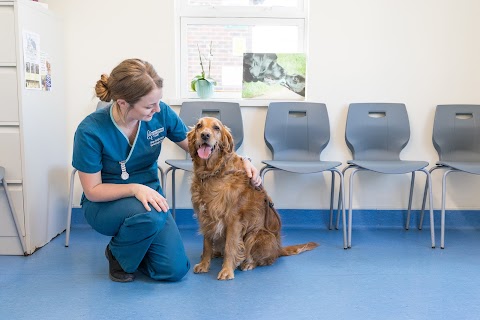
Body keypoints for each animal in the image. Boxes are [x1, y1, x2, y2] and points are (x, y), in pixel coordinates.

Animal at [188, 117, 318, 280]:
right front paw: (204, 265)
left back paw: (248, 263)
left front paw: (227, 270)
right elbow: (206, 245)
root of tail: (278, 248)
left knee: (264, 259)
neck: (213, 172)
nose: (205, 135)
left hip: (256, 234)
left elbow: (230, 246)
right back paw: (216, 253)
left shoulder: (234, 220)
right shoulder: (205, 217)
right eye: (199, 126)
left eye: (216, 128)